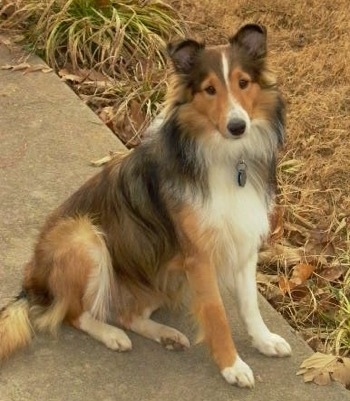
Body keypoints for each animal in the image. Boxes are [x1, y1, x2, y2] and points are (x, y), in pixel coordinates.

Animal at [0, 23, 290, 386]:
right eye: (209, 89)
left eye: (243, 83)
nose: (237, 126)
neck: (224, 155)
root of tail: (33, 280)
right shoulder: (199, 257)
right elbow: (216, 313)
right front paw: (231, 365)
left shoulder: (243, 240)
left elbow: (250, 304)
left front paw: (264, 341)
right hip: (85, 239)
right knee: (73, 313)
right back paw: (112, 335)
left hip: (158, 274)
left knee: (127, 314)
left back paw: (166, 334)